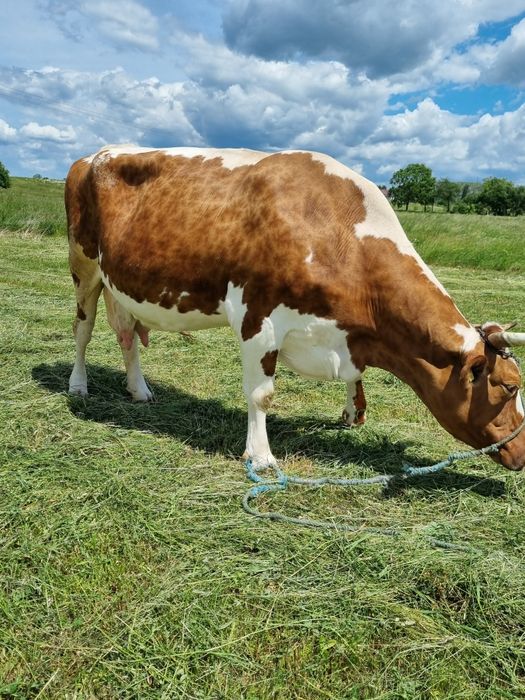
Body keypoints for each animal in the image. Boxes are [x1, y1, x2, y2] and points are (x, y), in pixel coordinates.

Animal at [66, 145, 525, 470]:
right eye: (509, 386)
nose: (521, 455)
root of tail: (96, 154)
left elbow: (354, 379)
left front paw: (352, 413)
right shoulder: (258, 318)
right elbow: (262, 394)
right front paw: (260, 456)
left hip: (120, 282)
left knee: (127, 335)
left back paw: (139, 390)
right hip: (84, 266)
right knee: (83, 330)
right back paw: (78, 385)